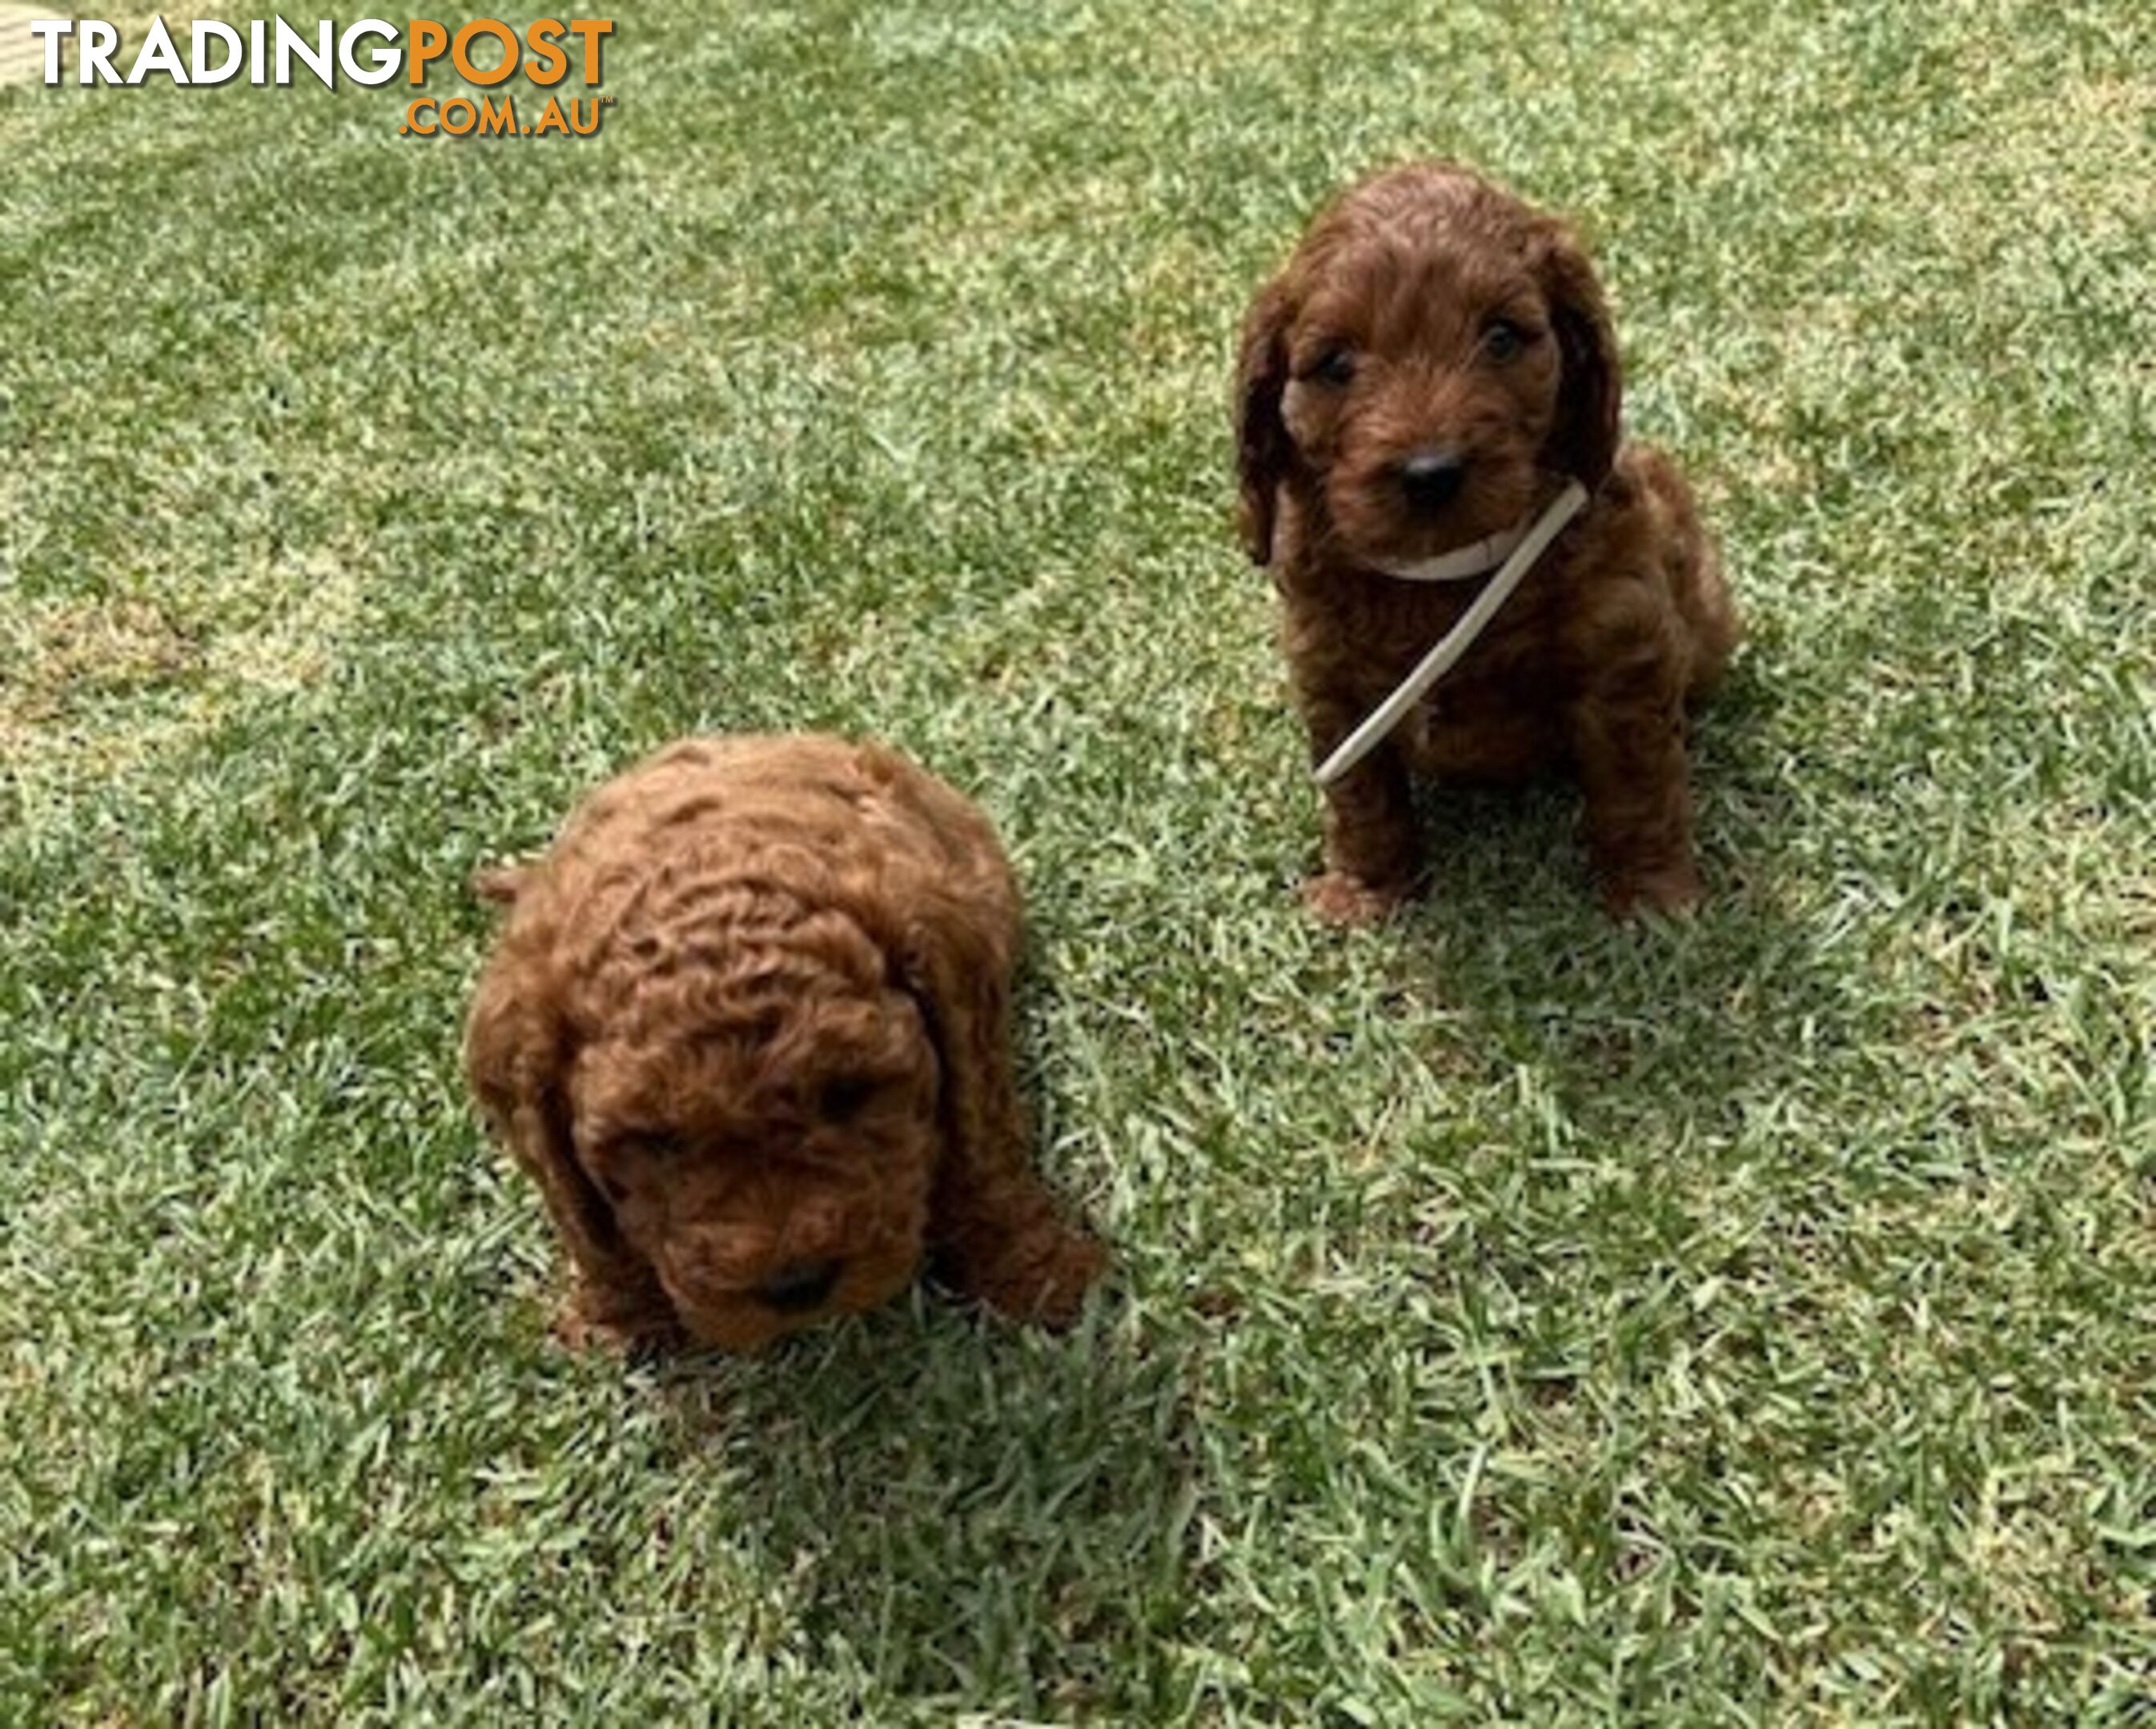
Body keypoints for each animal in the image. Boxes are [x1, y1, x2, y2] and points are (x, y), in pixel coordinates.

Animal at [474, 732, 1112, 1354]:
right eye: (656, 1141)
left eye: (849, 1092)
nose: (796, 1285)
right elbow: (584, 1223)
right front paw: (621, 1319)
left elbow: (983, 1153)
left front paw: (1042, 1274)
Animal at [1233, 154, 1733, 922]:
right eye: (1336, 365)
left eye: (1500, 337)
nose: (1430, 474)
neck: (1442, 573)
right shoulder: (1328, 674)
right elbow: (1360, 797)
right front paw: (1366, 892)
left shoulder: (1624, 650)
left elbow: (1637, 786)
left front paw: (1652, 898)